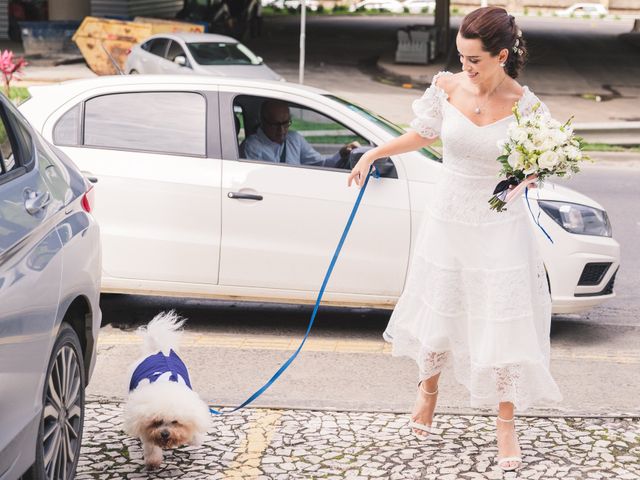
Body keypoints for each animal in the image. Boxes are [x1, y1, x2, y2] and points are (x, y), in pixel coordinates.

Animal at [124, 312, 212, 468]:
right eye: (157, 421)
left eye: (175, 422)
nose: (165, 433)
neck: (165, 383)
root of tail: (158, 350)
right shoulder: (147, 430)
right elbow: (151, 446)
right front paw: (153, 461)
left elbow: (195, 433)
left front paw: (193, 437)